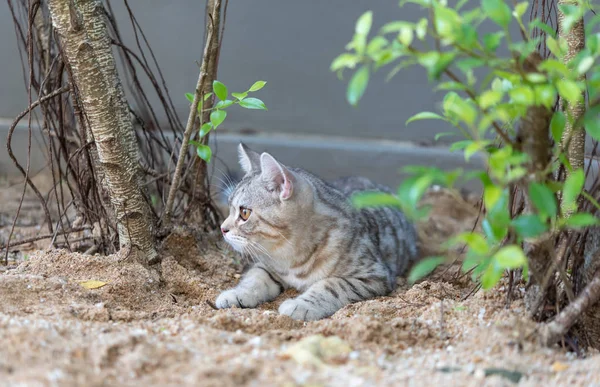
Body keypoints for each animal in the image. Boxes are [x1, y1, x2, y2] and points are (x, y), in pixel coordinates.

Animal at [214, 143, 418, 322]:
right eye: (230, 208)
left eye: (244, 213)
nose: (222, 229)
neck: (291, 257)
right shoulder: (266, 265)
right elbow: (255, 277)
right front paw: (237, 293)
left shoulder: (373, 274)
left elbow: (332, 285)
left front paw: (301, 305)